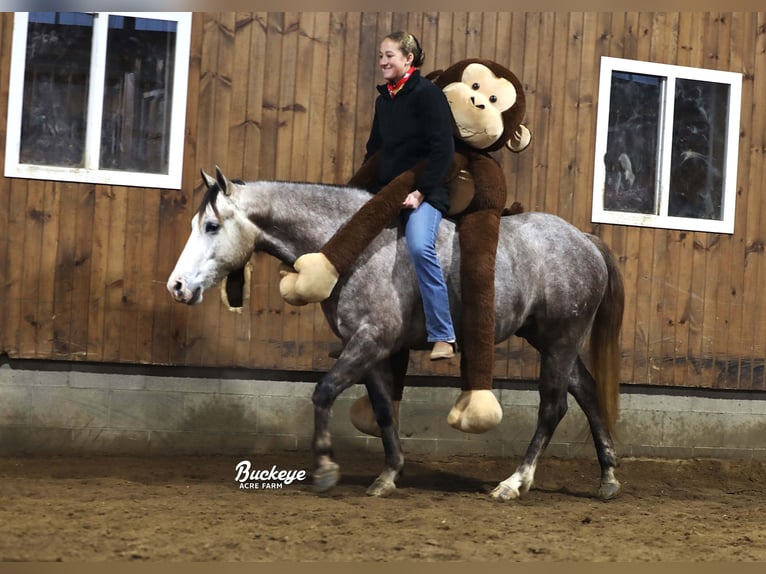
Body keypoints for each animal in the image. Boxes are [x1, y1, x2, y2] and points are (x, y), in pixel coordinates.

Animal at [168, 169, 624, 502]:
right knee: (586, 390)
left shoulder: (370, 340)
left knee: (553, 407)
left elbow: (324, 391)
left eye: (211, 226)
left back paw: (514, 483)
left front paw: (326, 469)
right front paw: (388, 474)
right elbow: (384, 408)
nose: (177, 286)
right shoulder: (370, 349)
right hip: (552, 341)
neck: (352, 249)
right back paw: (607, 477)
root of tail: (584, 239)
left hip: (561, 340)